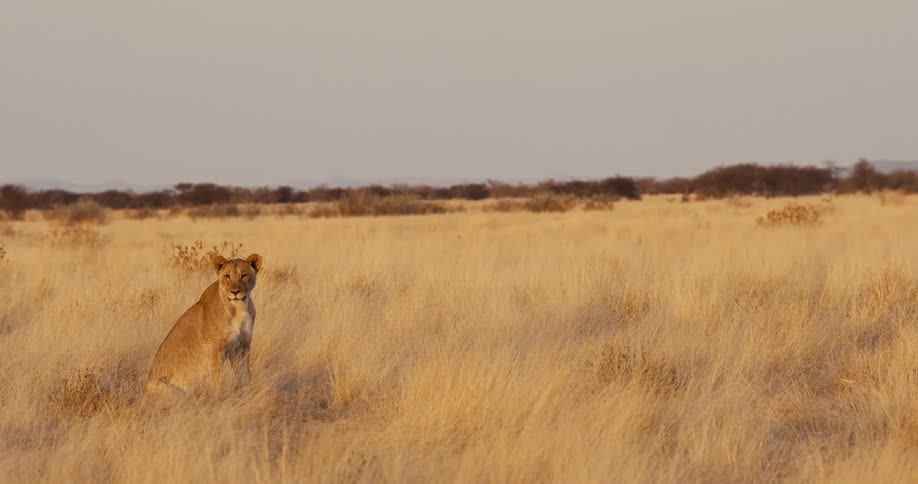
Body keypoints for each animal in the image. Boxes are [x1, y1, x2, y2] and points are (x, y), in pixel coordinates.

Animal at [146, 253, 263, 396]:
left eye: (244, 275)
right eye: (227, 276)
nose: (235, 292)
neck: (239, 308)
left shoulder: (242, 346)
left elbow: (244, 374)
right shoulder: (214, 348)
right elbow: (217, 379)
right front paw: (219, 396)